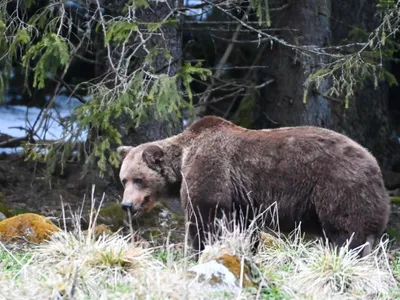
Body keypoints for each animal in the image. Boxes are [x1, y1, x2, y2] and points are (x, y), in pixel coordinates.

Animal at [116, 116, 390, 256]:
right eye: (124, 179)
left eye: (139, 179)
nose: (127, 204)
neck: (182, 158)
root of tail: (374, 163)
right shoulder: (242, 201)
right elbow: (244, 228)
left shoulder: (211, 170)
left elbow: (204, 217)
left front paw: (199, 251)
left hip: (339, 186)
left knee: (347, 232)